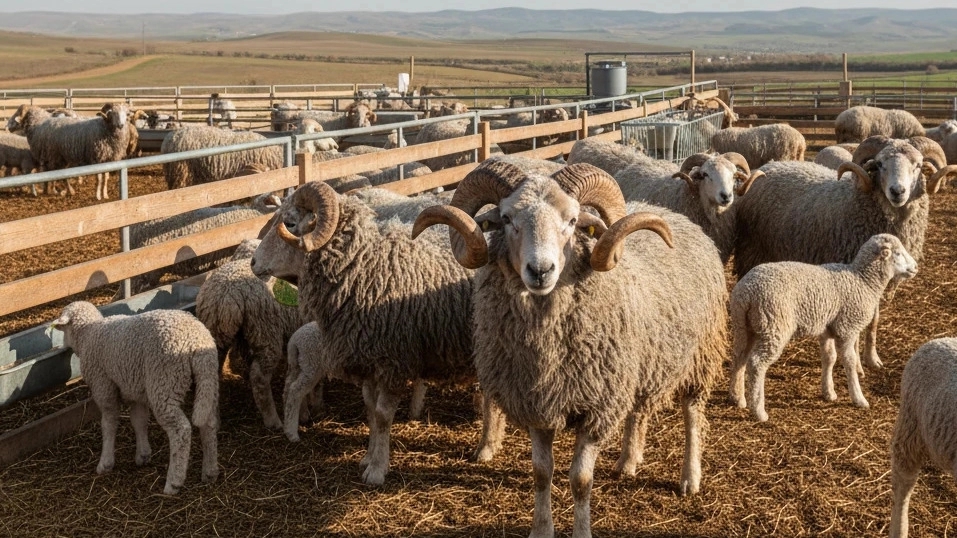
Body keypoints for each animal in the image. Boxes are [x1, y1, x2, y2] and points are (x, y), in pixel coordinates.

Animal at [51, 301, 219, 495]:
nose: (62, 347)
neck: (88, 333)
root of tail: (196, 340)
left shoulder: (103, 386)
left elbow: (109, 423)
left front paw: (105, 463)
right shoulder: (135, 389)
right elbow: (139, 420)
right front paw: (143, 454)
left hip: (165, 381)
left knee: (181, 430)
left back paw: (173, 482)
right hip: (207, 380)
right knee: (208, 423)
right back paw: (210, 471)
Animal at [250, 180, 504, 484]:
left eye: (289, 223)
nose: (253, 263)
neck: (367, 270)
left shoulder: (392, 361)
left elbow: (382, 416)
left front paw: (377, 470)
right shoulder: (369, 362)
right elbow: (371, 411)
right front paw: (368, 458)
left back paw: (486, 447)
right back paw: (494, 441)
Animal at [413, 159, 728, 538]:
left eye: (573, 220)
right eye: (506, 218)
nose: (540, 270)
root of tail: (675, 217)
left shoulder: (597, 408)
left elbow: (580, 480)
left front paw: (581, 530)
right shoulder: (537, 404)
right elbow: (541, 473)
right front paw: (541, 529)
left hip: (700, 355)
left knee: (693, 415)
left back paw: (689, 478)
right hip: (640, 363)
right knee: (638, 411)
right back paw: (628, 461)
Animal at [729, 234, 917, 422]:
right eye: (898, 253)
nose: (916, 267)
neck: (863, 280)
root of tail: (747, 293)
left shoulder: (827, 329)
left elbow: (829, 358)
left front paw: (829, 392)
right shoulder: (847, 328)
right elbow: (849, 361)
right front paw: (859, 398)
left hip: (744, 326)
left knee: (740, 356)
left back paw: (738, 398)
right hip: (774, 325)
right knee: (757, 363)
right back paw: (758, 410)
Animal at [733, 136, 957, 374]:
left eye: (917, 165)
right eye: (880, 164)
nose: (898, 191)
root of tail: (770, 165)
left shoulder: (874, 282)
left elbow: (873, 321)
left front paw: (872, 359)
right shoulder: (853, 278)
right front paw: (856, 364)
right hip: (752, 250)